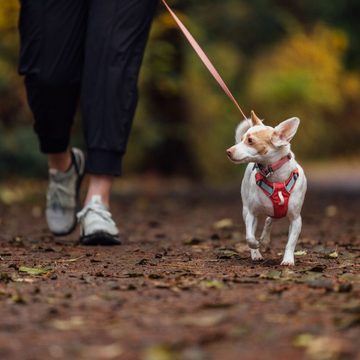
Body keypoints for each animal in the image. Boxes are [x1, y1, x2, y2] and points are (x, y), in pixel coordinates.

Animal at [226, 111, 306, 266]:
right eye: (242, 139)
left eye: (250, 140)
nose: (228, 151)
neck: (276, 179)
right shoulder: (251, 213)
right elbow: (249, 237)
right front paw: (256, 245)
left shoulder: (296, 220)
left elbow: (290, 243)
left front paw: (288, 260)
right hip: (246, 209)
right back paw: (258, 250)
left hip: (276, 212)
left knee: (269, 220)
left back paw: (265, 239)